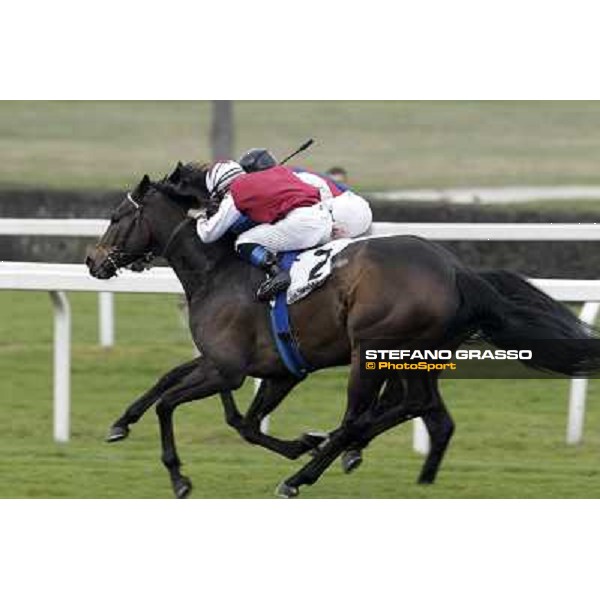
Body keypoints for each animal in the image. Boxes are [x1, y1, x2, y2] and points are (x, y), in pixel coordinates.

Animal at [84, 169, 600, 496]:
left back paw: (308, 472)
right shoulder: (265, 368)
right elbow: (188, 391)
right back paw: (355, 455)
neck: (217, 270)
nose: (92, 261)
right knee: (424, 408)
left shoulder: (229, 370)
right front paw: (120, 422)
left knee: (365, 414)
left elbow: (175, 405)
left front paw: (179, 477)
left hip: (371, 348)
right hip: (418, 355)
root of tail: (457, 271)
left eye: (115, 217)